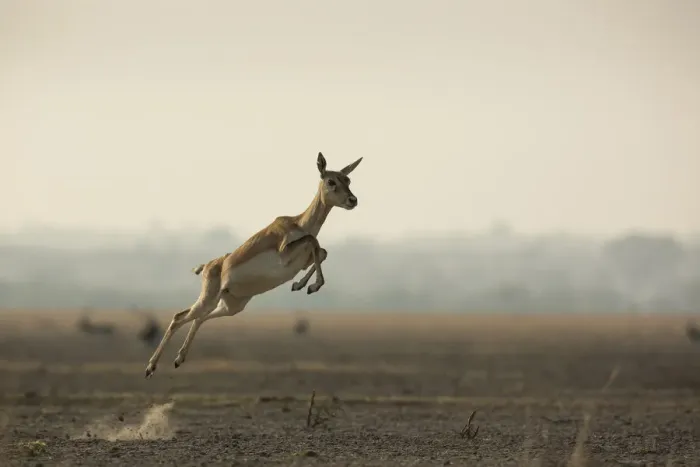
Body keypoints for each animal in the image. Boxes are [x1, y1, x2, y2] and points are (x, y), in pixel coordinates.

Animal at [144, 152, 363, 378]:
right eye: (331, 181)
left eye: (348, 180)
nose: (353, 200)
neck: (298, 223)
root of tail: (208, 266)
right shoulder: (285, 254)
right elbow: (313, 241)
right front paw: (311, 285)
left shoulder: (303, 261)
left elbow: (322, 251)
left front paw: (303, 285)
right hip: (209, 299)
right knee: (179, 317)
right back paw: (150, 368)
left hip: (231, 306)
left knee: (198, 318)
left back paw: (178, 360)